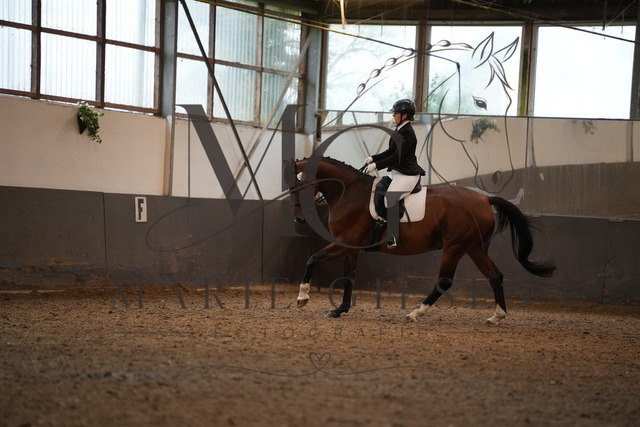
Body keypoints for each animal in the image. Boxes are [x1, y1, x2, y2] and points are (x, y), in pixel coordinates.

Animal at [290, 156, 555, 323]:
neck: (350, 194)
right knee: (495, 276)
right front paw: (340, 310)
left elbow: (312, 259)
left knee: (445, 281)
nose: (299, 219)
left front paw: (302, 298)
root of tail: (484, 199)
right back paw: (497, 316)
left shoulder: (343, 244)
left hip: (455, 247)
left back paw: (415, 314)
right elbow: (348, 277)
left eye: (297, 186)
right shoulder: (350, 248)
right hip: (476, 248)